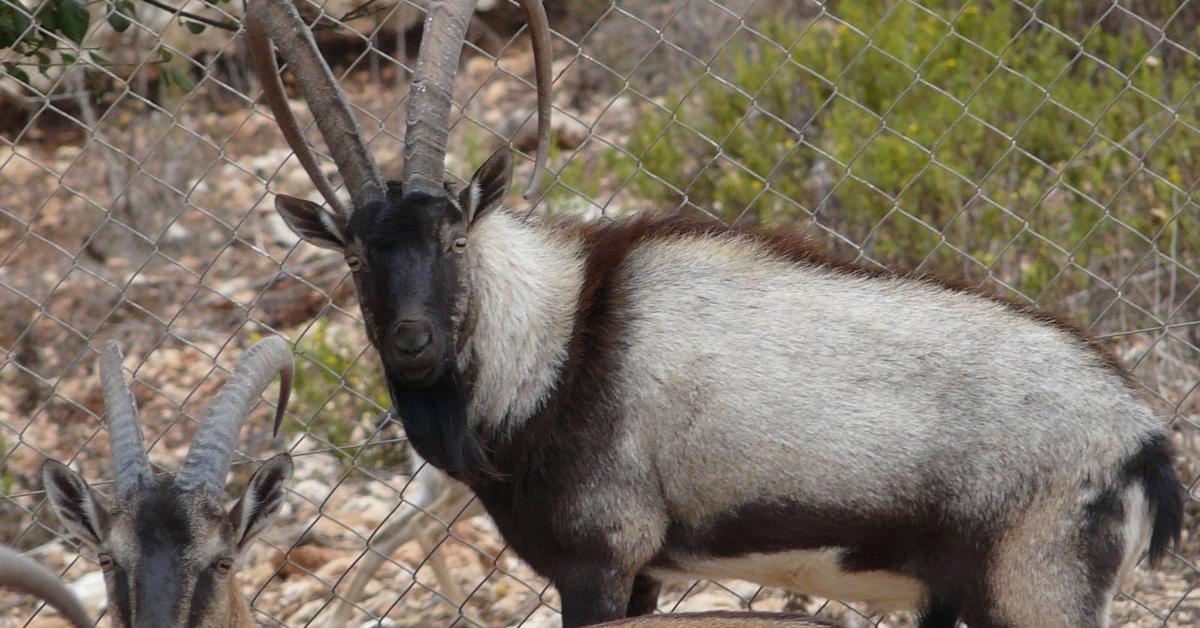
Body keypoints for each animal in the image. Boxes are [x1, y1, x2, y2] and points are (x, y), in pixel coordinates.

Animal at [243, 2, 1180, 624]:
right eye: (356, 255)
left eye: (456, 237)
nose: (414, 342)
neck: (560, 342)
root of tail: (1143, 444)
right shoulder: (644, 576)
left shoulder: (599, 562)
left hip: (1036, 592)